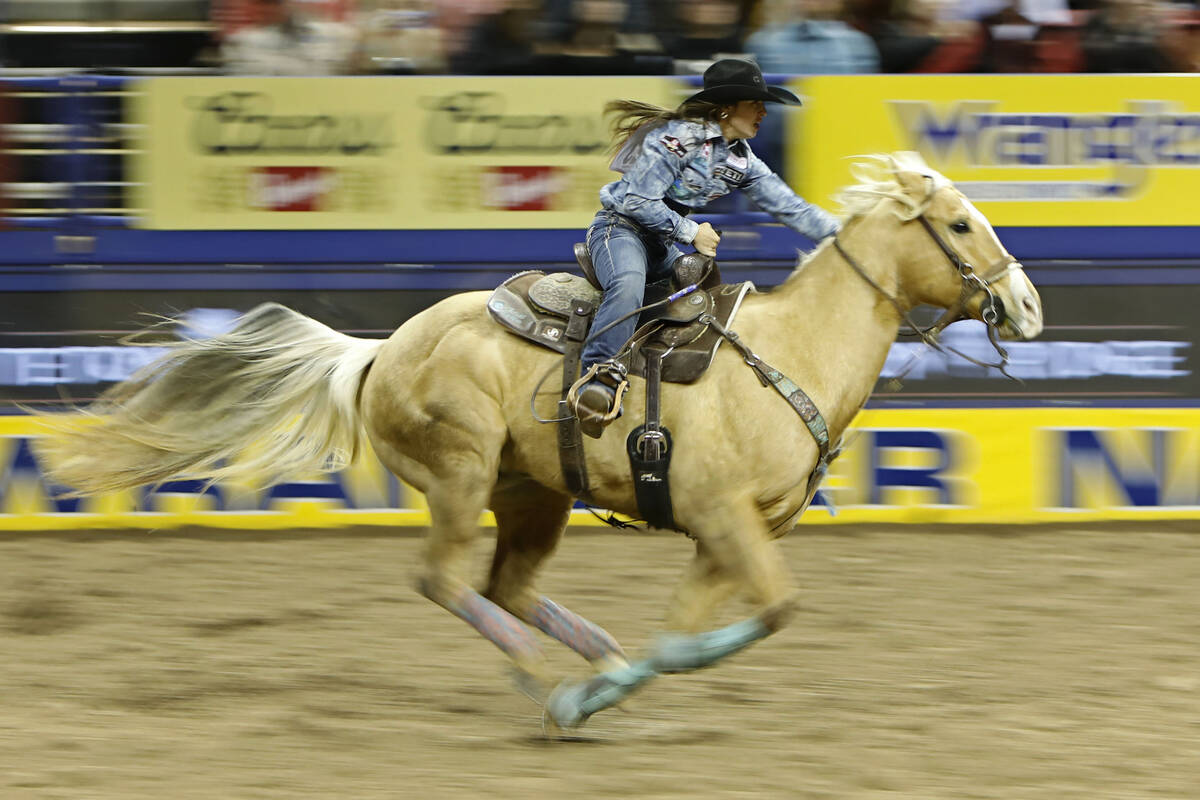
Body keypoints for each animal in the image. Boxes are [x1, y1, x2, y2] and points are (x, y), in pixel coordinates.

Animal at [35, 151, 1041, 734]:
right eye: (959, 223)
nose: (1028, 305)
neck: (791, 353)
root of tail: (379, 351)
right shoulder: (724, 520)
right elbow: (769, 613)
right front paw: (585, 694)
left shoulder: (727, 535)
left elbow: (686, 634)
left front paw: (610, 687)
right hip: (458, 473)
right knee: (444, 581)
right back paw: (534, 671)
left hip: (535, 492)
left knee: (507, 587)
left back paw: (589, 662)